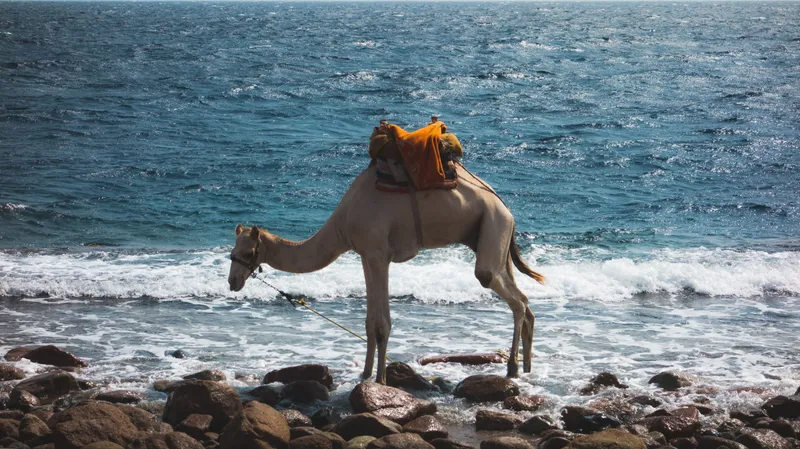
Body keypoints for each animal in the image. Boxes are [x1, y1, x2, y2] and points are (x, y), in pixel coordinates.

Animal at [228, 163, 545, 384]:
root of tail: (507, 208)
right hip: (490, 234)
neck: (342, 223)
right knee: (522, 298)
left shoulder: (378, 252)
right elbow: (370, 322)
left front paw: (380, 379)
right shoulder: (366, 255)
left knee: (499, 286)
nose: (232, 281)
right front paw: (365, 374)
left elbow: (382, 323)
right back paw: (528, 365)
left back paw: (512, 368)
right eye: (232, 251)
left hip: (493, 224)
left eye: (248, 253)